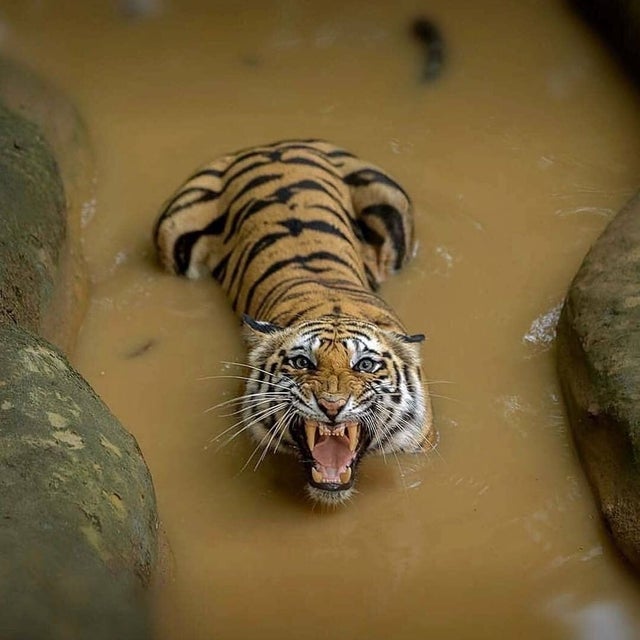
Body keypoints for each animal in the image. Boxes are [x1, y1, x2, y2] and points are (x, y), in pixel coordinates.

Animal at [154, 140, 436, 504]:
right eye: (302, 362)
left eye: (365, 365)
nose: (331, 406)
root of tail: (272, 145)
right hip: (172, 230)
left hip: (391, 202)